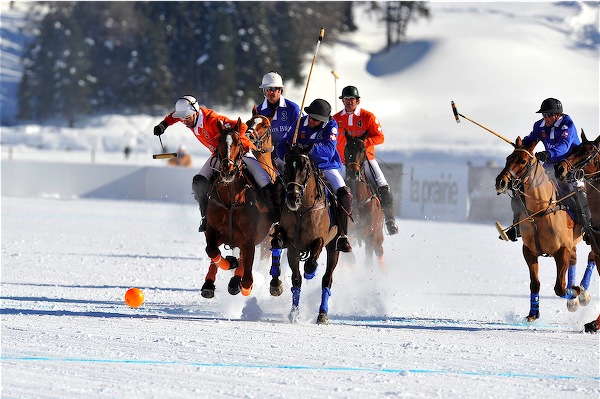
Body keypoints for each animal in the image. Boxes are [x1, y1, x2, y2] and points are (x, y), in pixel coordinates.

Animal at [203, 119, 276, 300]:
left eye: (238, 143)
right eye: (219, 142)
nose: (228, 171)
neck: (231, 200)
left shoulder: (249, 237)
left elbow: (247, 275)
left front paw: (243, 284)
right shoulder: (212, 230)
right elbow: (212, 251)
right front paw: (228, 264)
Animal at [270, 144, 340, 324]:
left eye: (306, 167)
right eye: (287, 166)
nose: (292, 198)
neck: (301, 210)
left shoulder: (320, 239)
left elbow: (312, 258)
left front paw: (311, 271)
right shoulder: (291, 245)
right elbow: (277, 243)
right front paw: (276, 285)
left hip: (334, 247)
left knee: (327, 278)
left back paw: (322, 313)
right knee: (297, 279)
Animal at [342, 131, 384, 268]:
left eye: (363, 149)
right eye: (346, 148)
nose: (353, 173)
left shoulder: (370, 236)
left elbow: (368, 262)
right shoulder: (348, 234)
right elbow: (349, 259)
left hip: (378, 235)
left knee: (379, 251)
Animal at [494, 137, 584, 322]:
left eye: (523, 161)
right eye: (508, 158)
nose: (501, 182)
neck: (540, 210)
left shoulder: (561, 250)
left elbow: (560, 288)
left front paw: (576, 292)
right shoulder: (529, 250)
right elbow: (535, 283)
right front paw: (533, 313)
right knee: (574, 259)